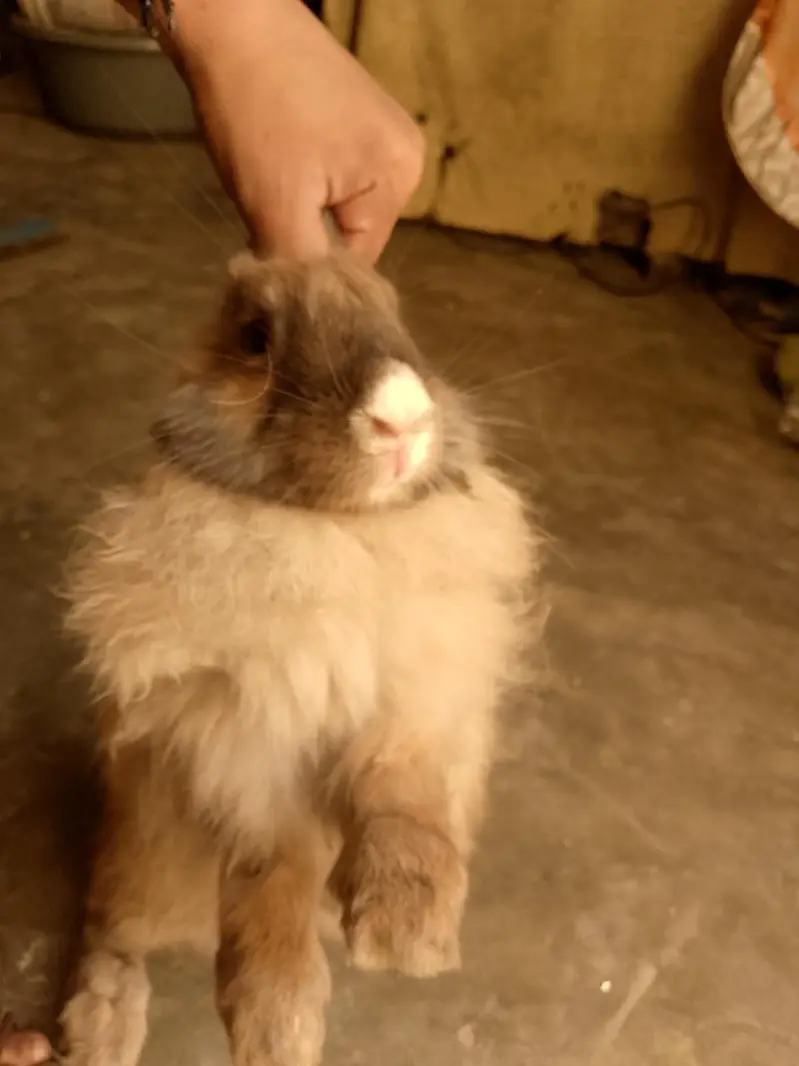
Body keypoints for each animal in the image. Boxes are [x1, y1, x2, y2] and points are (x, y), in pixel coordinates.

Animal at [58, 250, 541, 1066]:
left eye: (398, 317)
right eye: (255, 338)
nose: (400, 418)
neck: (334, 531)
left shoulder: (414, 715)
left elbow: (401, 808)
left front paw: (408, 936)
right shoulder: (246, 754)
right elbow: (276, 872)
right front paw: (276, 1027)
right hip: (142, 868)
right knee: (109, 933)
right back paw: (98, 1034)